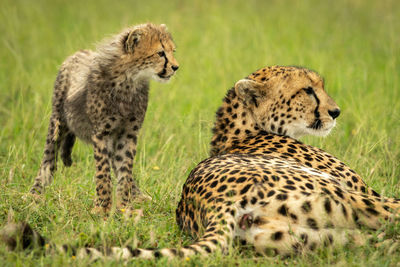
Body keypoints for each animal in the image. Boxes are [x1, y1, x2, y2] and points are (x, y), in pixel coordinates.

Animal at [3, 65, 400, 260]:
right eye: (307, 90)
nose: (335, 112)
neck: (244, 130)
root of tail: (212, 203)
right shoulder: (369, 191)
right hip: (352, 201)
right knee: (391, 217)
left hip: (324, 237)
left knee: (380, 241)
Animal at [28, 24, 178, 215]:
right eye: (160, 53)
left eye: (173, 51)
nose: (176, 67)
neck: (129, 80)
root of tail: (77, 53)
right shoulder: (101, 134)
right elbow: (103, 172)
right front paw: (103, 209)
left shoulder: (127, 135)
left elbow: (125, 170)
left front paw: (124, 207)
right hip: (57, 121)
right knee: (48, 159)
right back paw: (35, 194)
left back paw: (138, 196)